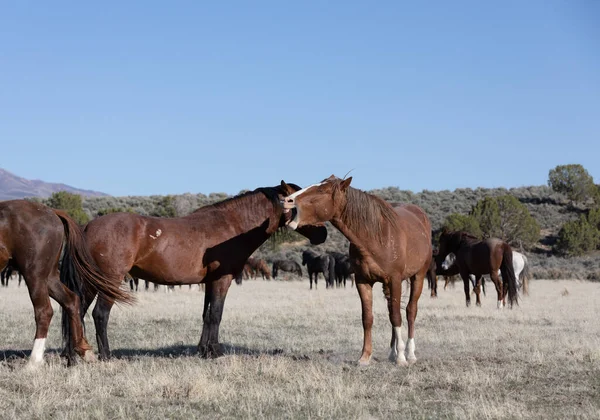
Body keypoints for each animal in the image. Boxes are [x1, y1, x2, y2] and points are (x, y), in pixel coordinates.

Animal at [0, 200, 131, 368]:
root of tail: (52, 211)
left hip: (34, 275)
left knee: (44, 311)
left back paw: (34, 363)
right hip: (48, 278)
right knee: (72, 301)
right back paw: (83, 351)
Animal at [80, 182, 328, 360]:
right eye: (305, 202)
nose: (323, 234)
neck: (233, 227)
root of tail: (88, 227)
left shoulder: (209, 282)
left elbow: (206, 314)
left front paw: (203, 349)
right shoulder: (222, 279)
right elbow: (216, 313)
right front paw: (215, 351)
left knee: (79, 311)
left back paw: (79, 353)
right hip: (109, 281)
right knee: (100, 314)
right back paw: (106, 355)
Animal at [282, 176, 432, 366]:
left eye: (322, 190)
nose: (288, 200)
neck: (376, 236)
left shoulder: (395, 280)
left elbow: (396, 316)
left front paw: (401, 358)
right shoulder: (362, 281)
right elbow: (367, 318)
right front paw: (365, 357)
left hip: (418, 277)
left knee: (410, 311)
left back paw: (409, 353)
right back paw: (392, 352)